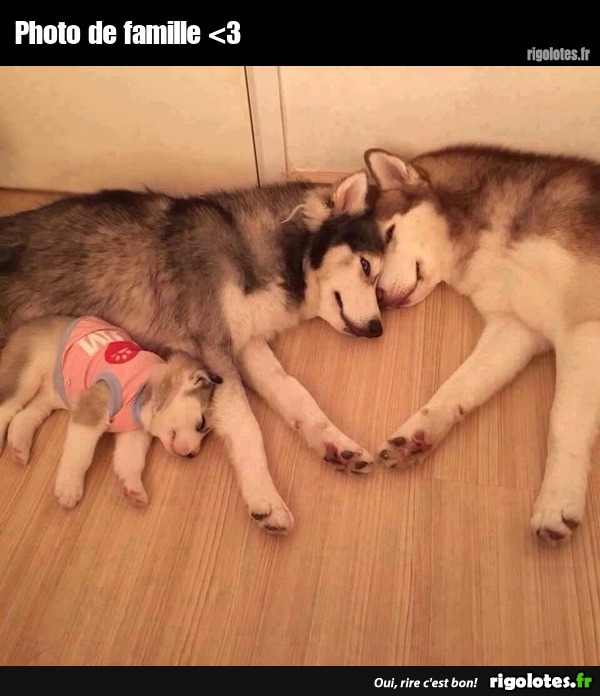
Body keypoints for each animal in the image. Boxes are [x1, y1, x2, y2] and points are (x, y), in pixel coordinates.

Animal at [0, 315, 218, 508]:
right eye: (202, 424)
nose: (193, 455)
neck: (144, 389)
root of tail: (24, 326)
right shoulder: (93, 406)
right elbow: (79, 454)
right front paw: (69, 487)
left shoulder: (133, 434)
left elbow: (131, 460)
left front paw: (134, 489)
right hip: (25, 377)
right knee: (7, 408)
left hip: (51, 397)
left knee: (23, 416)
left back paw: (19, 449)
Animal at [365, 143, 600, 544]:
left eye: (390, 233)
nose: (379, 298)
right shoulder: (514, 328)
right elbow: (456, 387)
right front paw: (416, 435)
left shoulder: (585, 328)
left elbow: (564, 419)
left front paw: (556, 500)